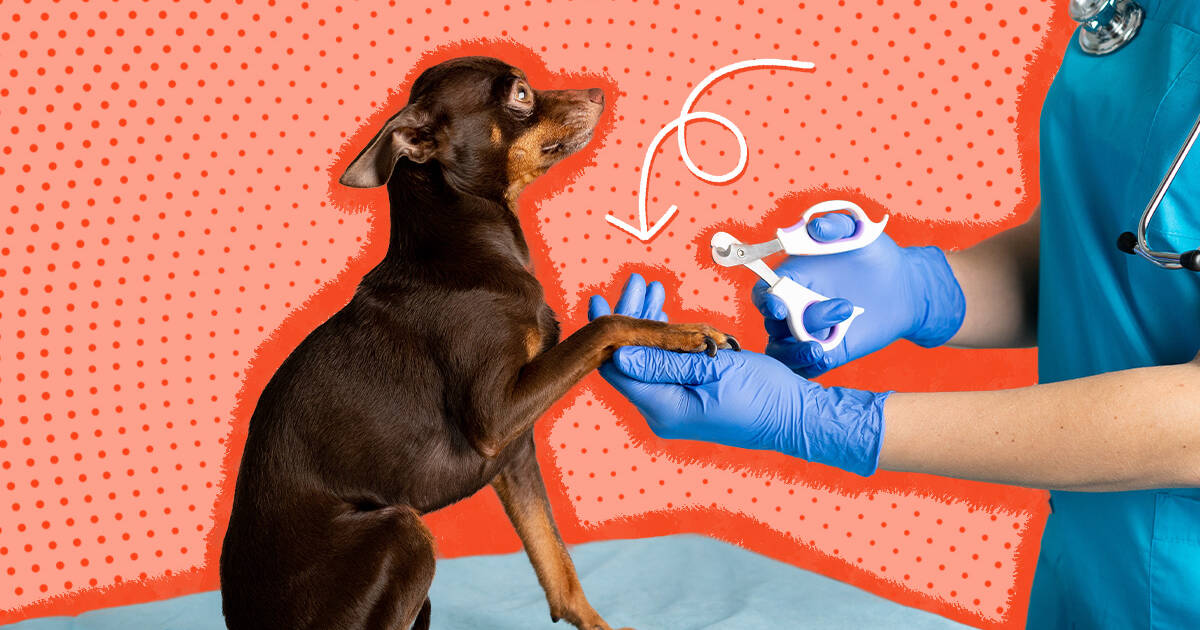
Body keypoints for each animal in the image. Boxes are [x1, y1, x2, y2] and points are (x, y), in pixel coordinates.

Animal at [219, 56, 734, 624]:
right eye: (521, 94)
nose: (599, 92)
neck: (474, 248)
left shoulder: (515, 454)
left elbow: (555, 561)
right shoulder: (495, 419)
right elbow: (605, 325)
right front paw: (683, 333)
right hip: (404, 530)